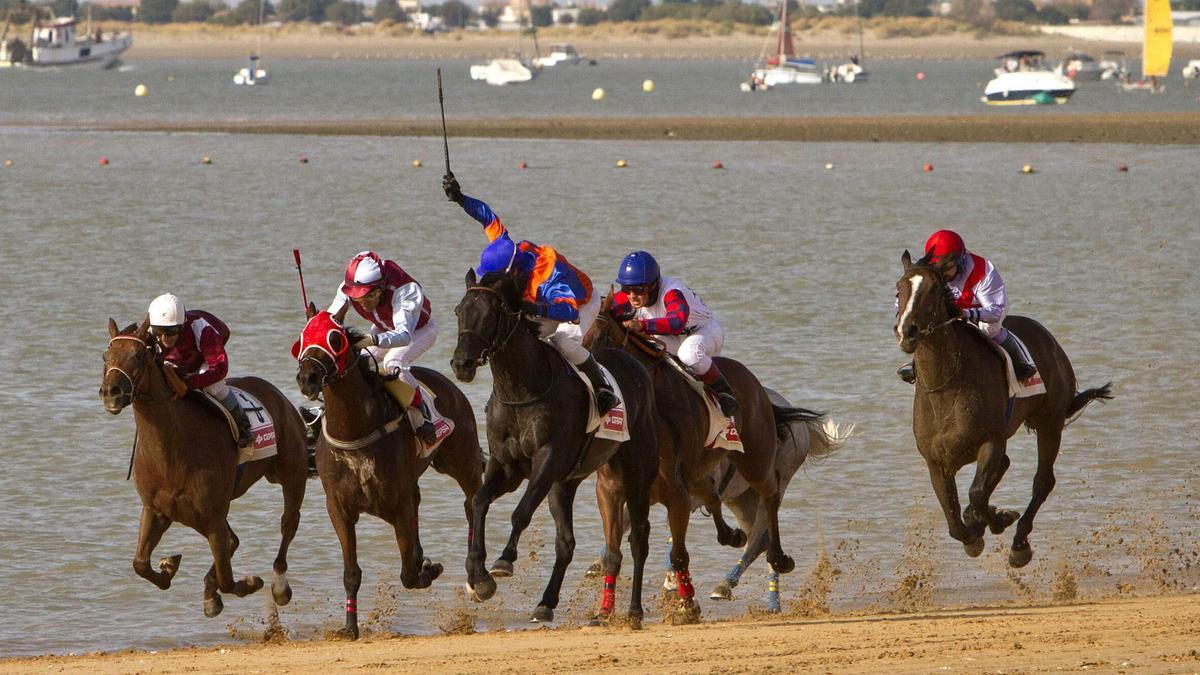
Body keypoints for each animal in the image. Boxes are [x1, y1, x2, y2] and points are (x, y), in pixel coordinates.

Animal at [99, 317, 309, 619]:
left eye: (138, 355)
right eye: (106, 356)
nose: (111, 393)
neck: (172, 451)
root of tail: (278, 396)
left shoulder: (212, 516)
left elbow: (228, 579)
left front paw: (248, 583)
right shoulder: (157, 510)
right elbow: (140, 563)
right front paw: (169, 567)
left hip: (292, 473)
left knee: (288, 524)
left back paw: (279, 586)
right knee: (234, 540)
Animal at [294, 307, 482, 638]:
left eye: (335, 339)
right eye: (303, 337)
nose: (308, 378)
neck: (356, 431)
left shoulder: (398, 504)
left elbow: (407, 572)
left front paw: (428, 569)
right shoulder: (339, 509)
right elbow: (352, 572)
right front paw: (350, 627)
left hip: (461, 458)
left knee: (473, 499)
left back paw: (479, 579)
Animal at [451, 269, 657, 624]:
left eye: (490, 314)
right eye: (459, 311)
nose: (461, 363)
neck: (521, 390)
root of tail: (636, 365)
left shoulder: (547, 462)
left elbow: (521, 512)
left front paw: (503, 562)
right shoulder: (507, 467)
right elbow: (478, 502)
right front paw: (479, 577)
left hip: (635, 470)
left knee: (639, 537)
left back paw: (634, 610)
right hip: (567, 482)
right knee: (566, 543)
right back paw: (545, 603)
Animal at [585, 289, 811, 614]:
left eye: (602, 334)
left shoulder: (675, 489)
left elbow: (673, 547)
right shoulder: (615, 488)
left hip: (756, 459)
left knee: (768, 500)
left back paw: (775, 559)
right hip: (726, 483)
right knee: (726, 505)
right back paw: (733, 543)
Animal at [897, 249, 1108, 564]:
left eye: (933, 289)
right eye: (899, 288)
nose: (906, 331)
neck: (947, 386)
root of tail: (1050, 341)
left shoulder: (991, 441)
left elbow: (976, 494)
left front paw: (999, 519)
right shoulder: (936, 461)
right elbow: (954, 521)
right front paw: (974, 531)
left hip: (1050, 422)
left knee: (1043, 481)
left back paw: (1019, 544)